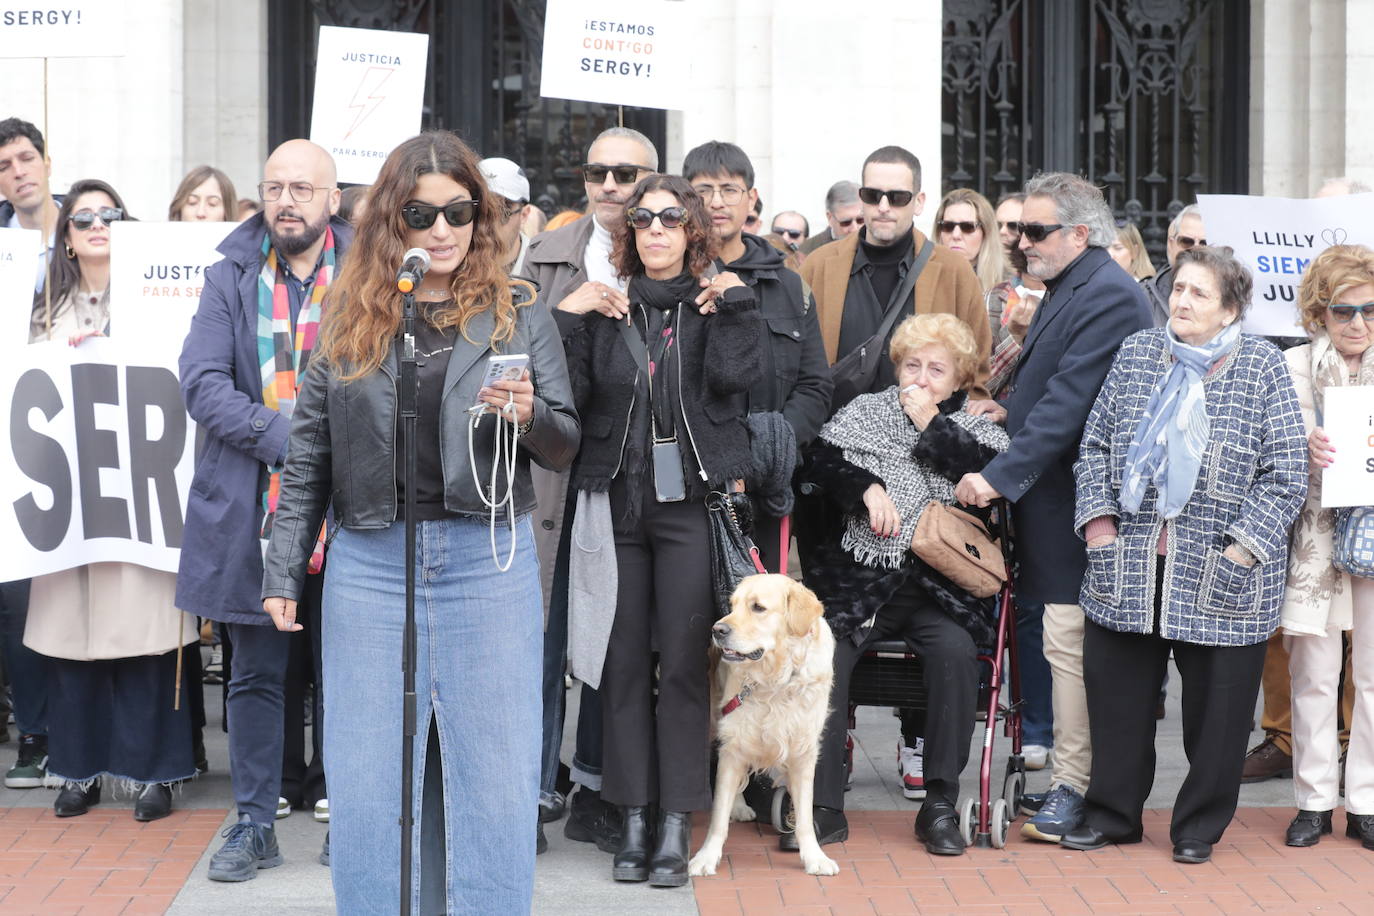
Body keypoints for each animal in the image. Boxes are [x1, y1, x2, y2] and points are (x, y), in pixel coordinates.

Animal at [687, 574, 835, 878]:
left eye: (758, 608)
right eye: (732, 605)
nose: (717, 629)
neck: (778, 677)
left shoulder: (803, 751)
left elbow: (805, 816)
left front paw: (815, 857)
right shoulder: (734, 741)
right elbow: (718, 816)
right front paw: (706, 857)